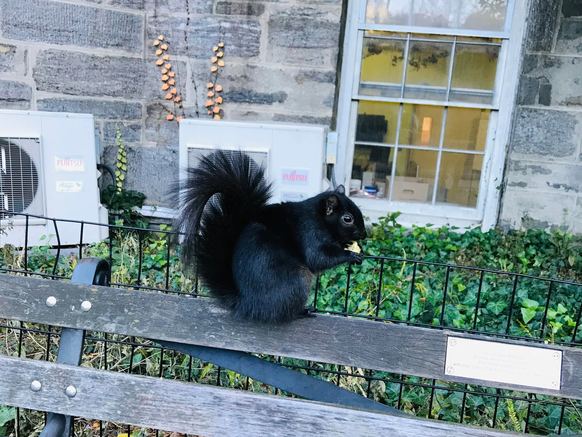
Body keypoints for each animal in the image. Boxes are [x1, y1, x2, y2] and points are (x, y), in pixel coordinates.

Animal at [178, 151, 370, 324]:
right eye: (347, 218)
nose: (364, 234)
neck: (320, 218)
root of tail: (248, 305)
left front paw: (351, 246)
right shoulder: (310, 232)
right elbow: (318, 258)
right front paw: (351, 255)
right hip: (298, 282)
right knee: (284, 313)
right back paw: (302, 311)